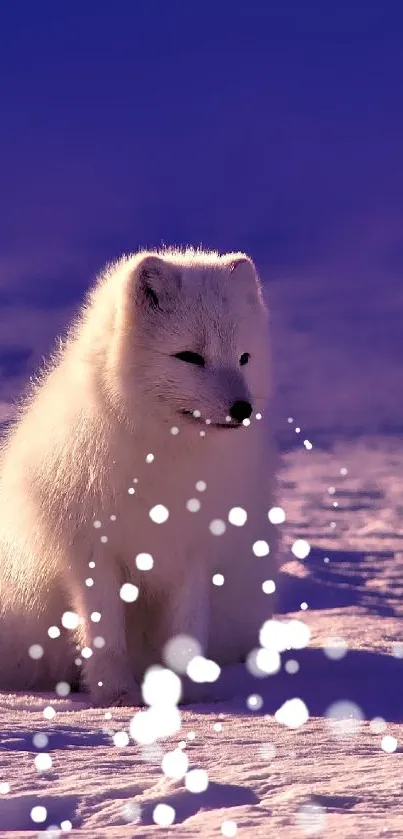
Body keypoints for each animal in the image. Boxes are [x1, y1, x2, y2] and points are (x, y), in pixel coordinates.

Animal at [0, 246, 280, 704]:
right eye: (190, 357)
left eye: (244, 358)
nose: (242, 409)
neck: (166, 458)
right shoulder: (92, 551)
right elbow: (104, 635)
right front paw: (116, 695)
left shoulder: (195, 552)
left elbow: (187, 631)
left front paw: (191, 695)